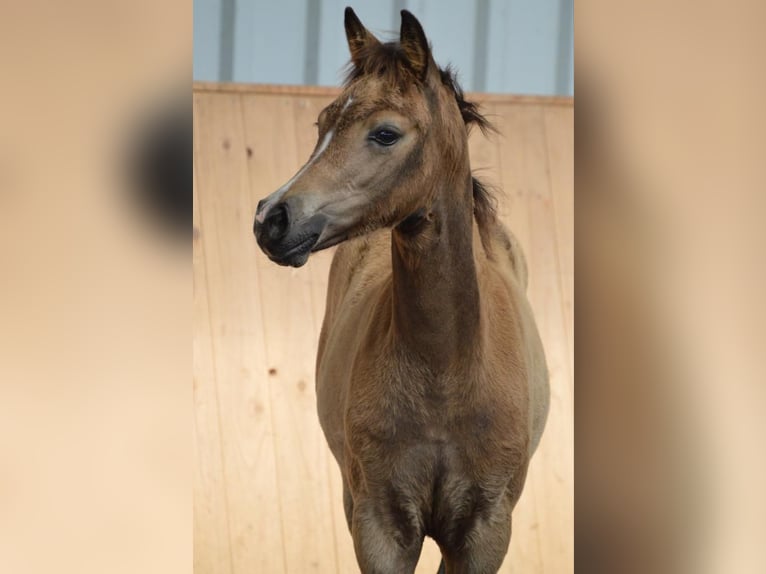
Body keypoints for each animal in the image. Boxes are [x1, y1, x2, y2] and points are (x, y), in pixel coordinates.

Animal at [255, 9, 548, 574]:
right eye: (322, 125)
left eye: (386, 133)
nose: (271, 218)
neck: (447, 369)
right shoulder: (380, 526)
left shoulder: (484, 534)